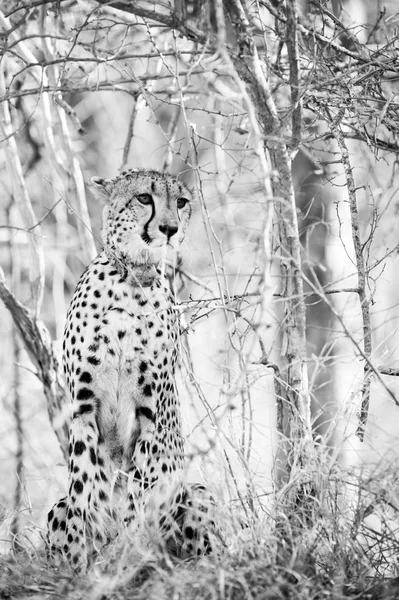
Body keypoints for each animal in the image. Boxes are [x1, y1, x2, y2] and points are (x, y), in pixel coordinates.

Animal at [47, 170, 217, 572]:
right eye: (143, 198)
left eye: (181, 202)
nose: (169, 228)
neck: (132, 278)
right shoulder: (84, 406)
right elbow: (83, 487)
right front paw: (79, 558)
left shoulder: (149, 412)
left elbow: (140, 490)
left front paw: (128, 552)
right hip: (55, 506)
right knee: (66, 504)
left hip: (198, 495)